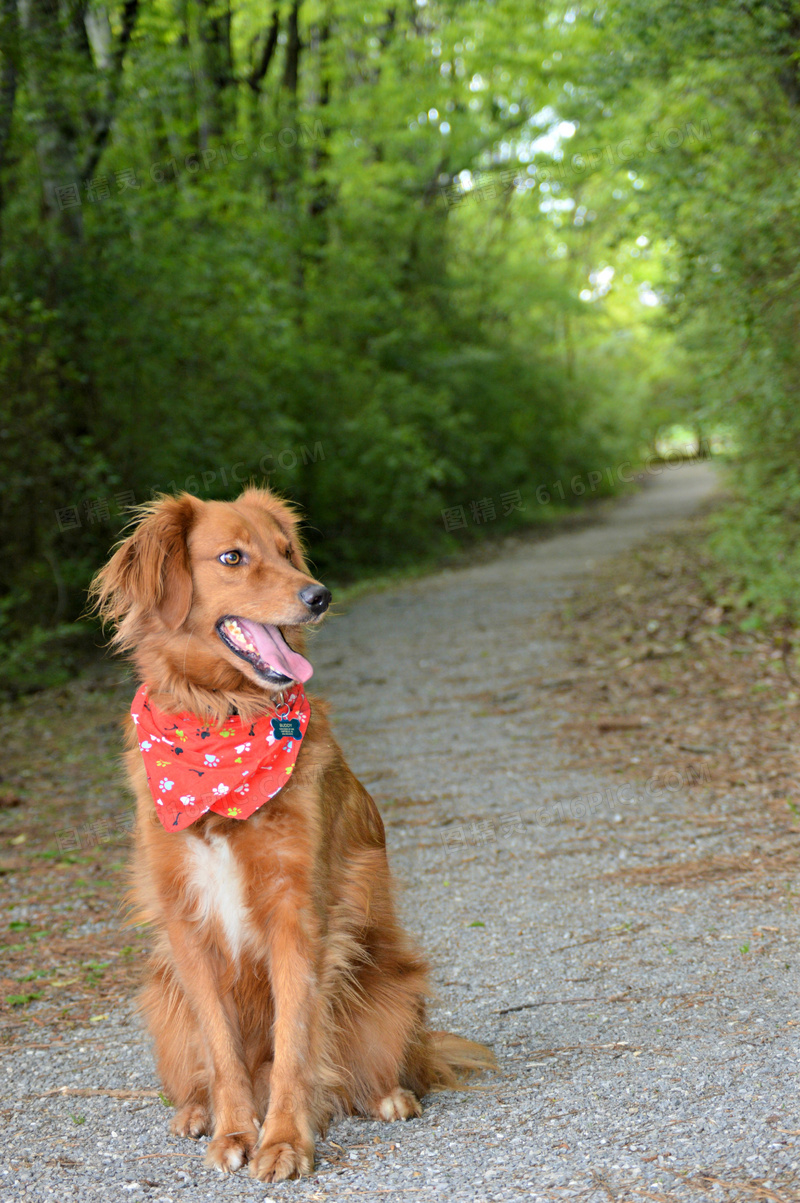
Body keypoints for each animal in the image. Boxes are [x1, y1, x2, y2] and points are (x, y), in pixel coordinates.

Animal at [92, 488, 493, 1183]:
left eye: (286, 552)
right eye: (233, 556)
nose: (320, 595)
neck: (222, 723)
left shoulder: (297, 912)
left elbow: (295, 1043)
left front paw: (283, 1141)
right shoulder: (186, 921)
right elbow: (223, 1049)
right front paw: (233, 1132)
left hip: (390, 992)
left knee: (387, 1066)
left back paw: (387, 1096)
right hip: (162, 998)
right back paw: (196, 1112)